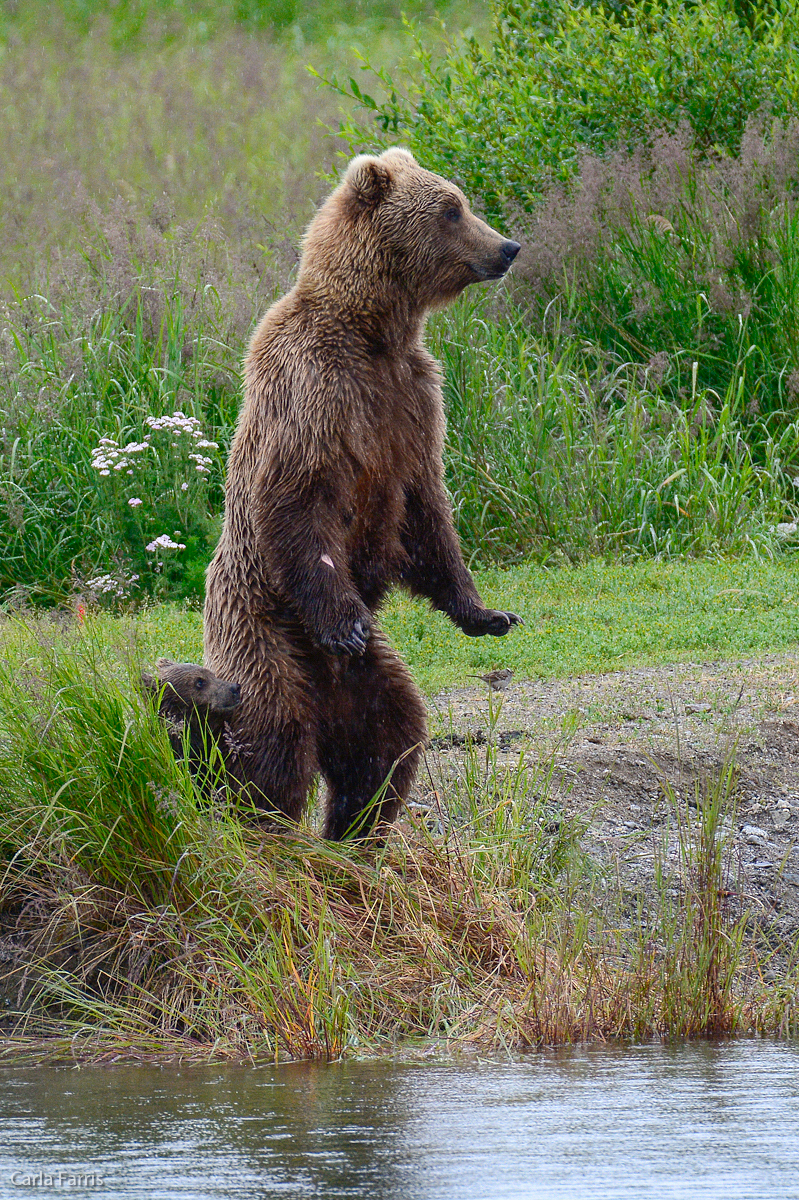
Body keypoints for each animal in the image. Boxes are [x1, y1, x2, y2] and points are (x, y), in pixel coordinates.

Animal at [202, 145, 520, 840]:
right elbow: (299, 499)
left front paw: (487, 613)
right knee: (274, 740)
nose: (508, 247)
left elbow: (426, 511)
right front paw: (345, 622)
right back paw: (265, 819)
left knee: (389, 736)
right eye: (452, 208)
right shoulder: (315, 389)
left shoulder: (414, 399)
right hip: (266, 637)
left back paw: (355, 826)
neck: (373, 329)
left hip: (368, 677)